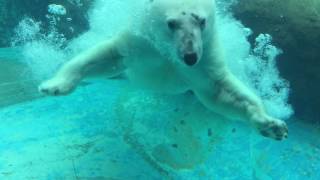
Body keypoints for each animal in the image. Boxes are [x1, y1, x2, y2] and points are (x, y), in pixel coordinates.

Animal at [38, 0, 288, 141]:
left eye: (202, 21)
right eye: (171, 23)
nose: (189, 56)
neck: (168, 53)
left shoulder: (205, 58)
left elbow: (220, 91)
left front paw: (271, 125)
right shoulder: (141, 42)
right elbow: (107, 56)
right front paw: (53, 86)